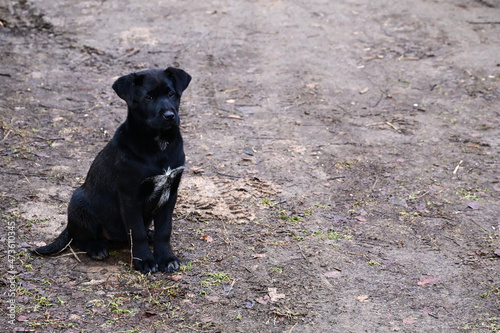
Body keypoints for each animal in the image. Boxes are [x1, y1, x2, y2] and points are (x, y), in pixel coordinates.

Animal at [34, 67, 191, 272]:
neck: (159, 144)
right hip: (78, 201)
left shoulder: (170, 192)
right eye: (148, 97)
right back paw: (96, 248)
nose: (169, 116)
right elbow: (137, 233)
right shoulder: (130, 197)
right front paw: (144, 260)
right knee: (80, 238)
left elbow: (164, 230)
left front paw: (166, 258)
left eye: (171, 94)